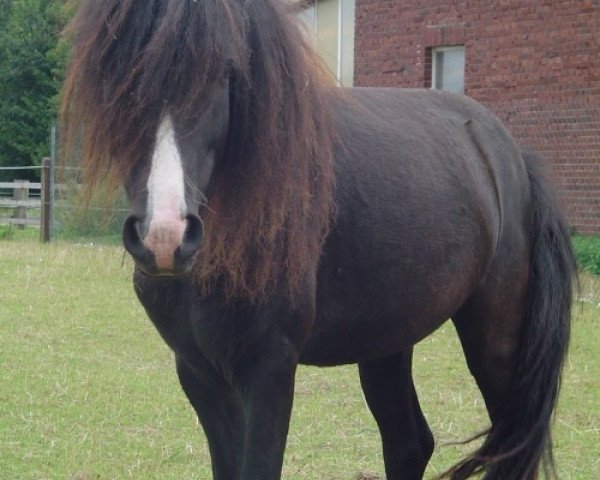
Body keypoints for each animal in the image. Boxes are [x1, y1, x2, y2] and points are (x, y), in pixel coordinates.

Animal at [61, 0, 576, 480]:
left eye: (224, 71)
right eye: (112, 68)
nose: (165, 236)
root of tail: (511, 153)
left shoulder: (268, 370)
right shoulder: (199, 373)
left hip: (496, 342)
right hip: (386, 342)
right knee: (410, 443)